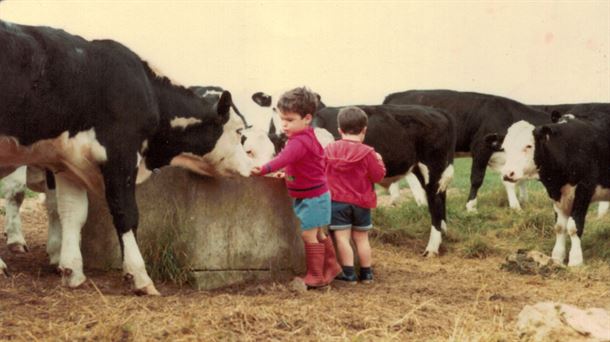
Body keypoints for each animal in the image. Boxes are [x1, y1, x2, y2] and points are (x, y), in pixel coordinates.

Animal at [0, 20, 252, 294]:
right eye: (239, 132)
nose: (251, 168)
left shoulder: (68, 163)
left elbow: (71, 213)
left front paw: (72, 270)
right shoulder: (121, 155)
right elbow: (126, 214)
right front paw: (139, 276)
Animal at [316, 104, 454, 256]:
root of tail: (436, 111)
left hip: (432, 166)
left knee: (435, 202)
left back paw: (432, 248)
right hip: (422, 169)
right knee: (440, 196)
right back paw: (443, 234)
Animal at [382, 89, 548, 211]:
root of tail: (394, 95)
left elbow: (510, 181)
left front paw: (516, 206)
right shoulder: (481, 148)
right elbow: (477, 179)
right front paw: (471, 206)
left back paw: (399, 199)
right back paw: (419, 201)